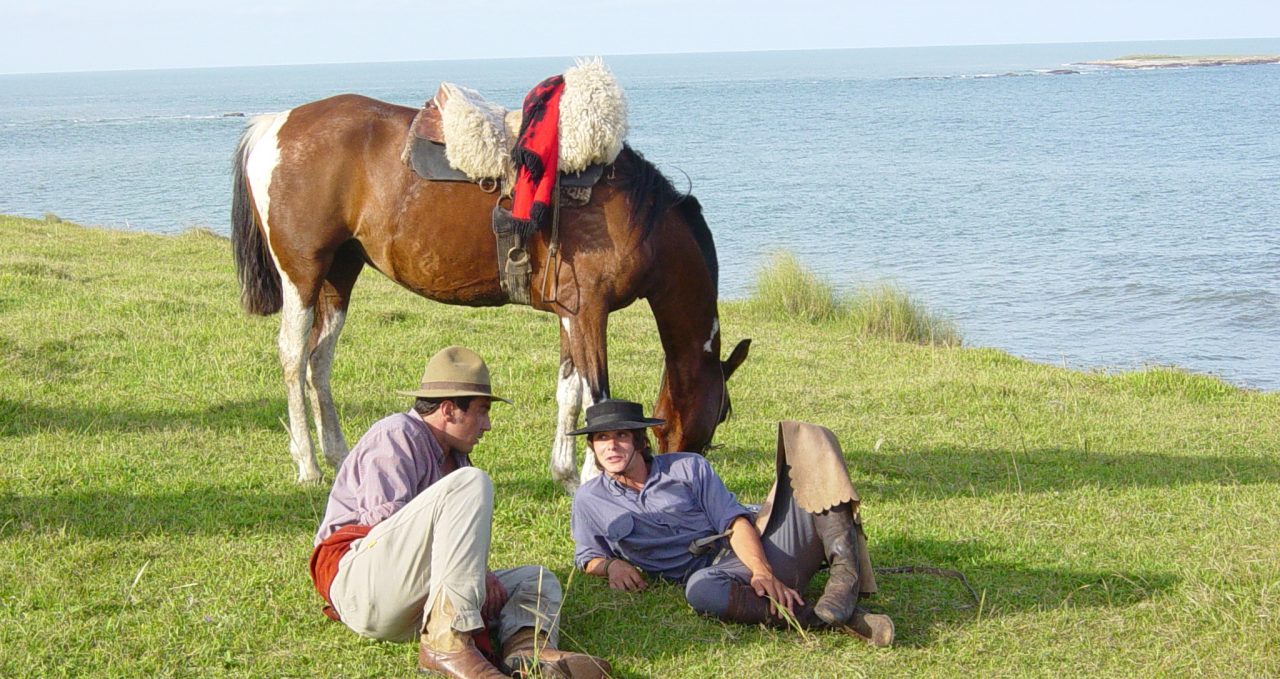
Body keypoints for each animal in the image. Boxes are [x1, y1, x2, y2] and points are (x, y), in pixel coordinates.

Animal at [231, 92, 747, 489]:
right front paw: (596, 475)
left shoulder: (571, 313)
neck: (639, 216)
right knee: (293, 357)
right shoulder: (589, 312)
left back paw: (337, 454)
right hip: (303, 275)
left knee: (318, 360)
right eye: (722, 411)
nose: (691, 462)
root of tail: (275, 124)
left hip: (340, 274)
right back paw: (308, 465)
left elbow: (569, 390)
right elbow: (597, 396)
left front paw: (567, 475)